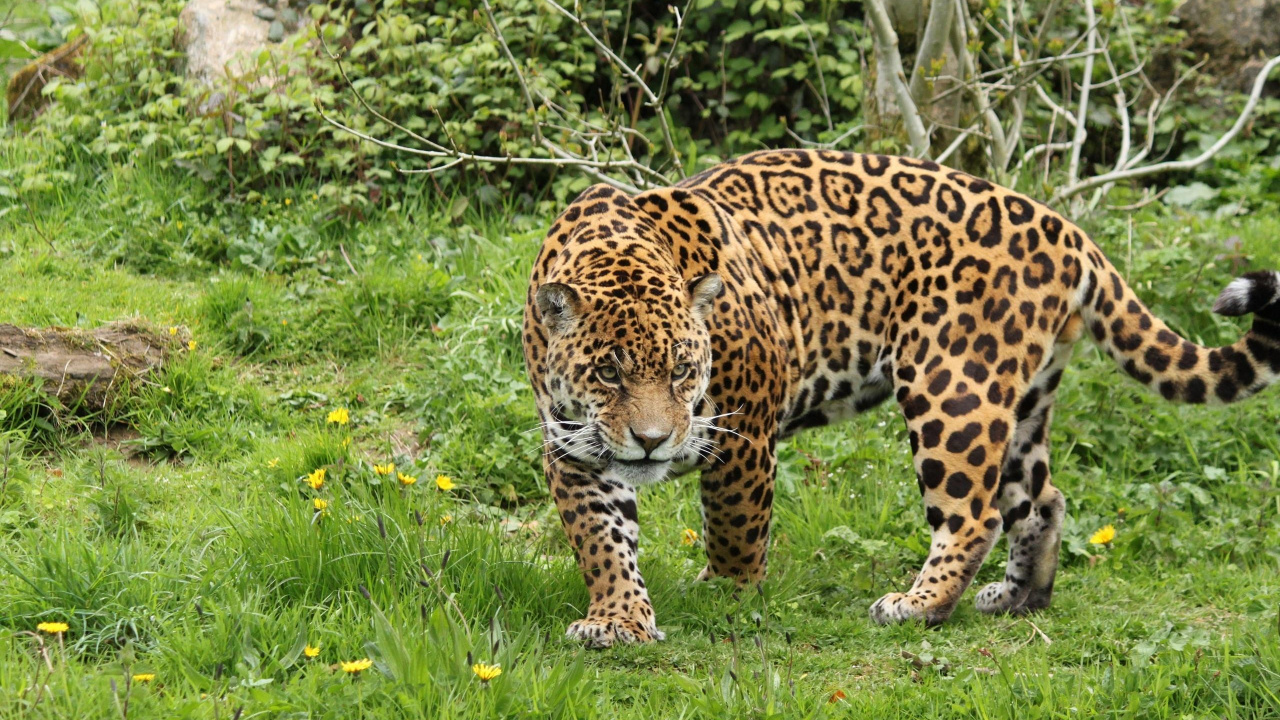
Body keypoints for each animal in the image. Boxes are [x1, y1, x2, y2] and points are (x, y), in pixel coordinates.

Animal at [521, 149, 1280, 647]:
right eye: (609, 373)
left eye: (683, 371)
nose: (652, 443)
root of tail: (1062, 228)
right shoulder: (573, 449)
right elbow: (602, 543)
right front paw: (617, 619)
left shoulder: (746, 433)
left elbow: (734, 528)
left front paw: (728, 596)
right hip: (1023, 402)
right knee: (1041, 499)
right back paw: (1018, 598)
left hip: (953, 387)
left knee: (973, 515)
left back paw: (918, 606)